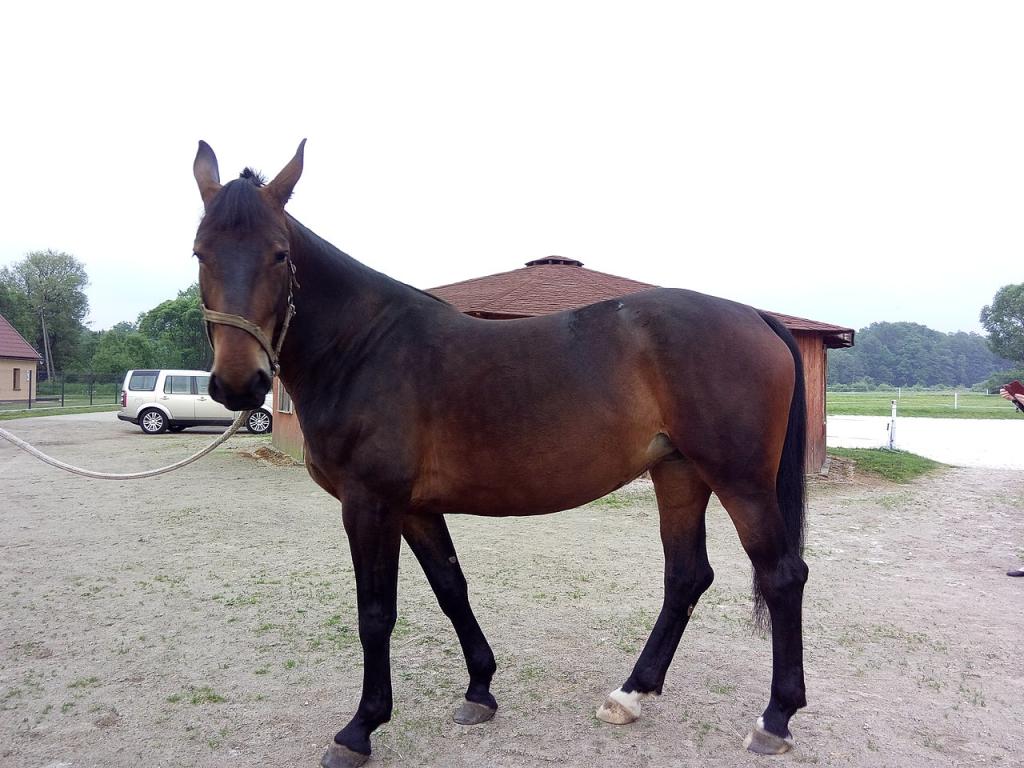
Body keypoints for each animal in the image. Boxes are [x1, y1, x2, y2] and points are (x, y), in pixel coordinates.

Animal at [192, 140, 810, 768]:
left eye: (279, 255)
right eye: (199, 252)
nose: (240, 384)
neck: (363, 347)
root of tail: (755, 316)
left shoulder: (370, 505)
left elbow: (376, 613)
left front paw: (360, 729)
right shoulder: (415, 508)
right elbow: (450, 588)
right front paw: (479, 690)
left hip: (740, 481)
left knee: (782, 575)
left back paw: (775, 720)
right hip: (678, 472)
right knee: (686, 575)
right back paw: (630, 694)